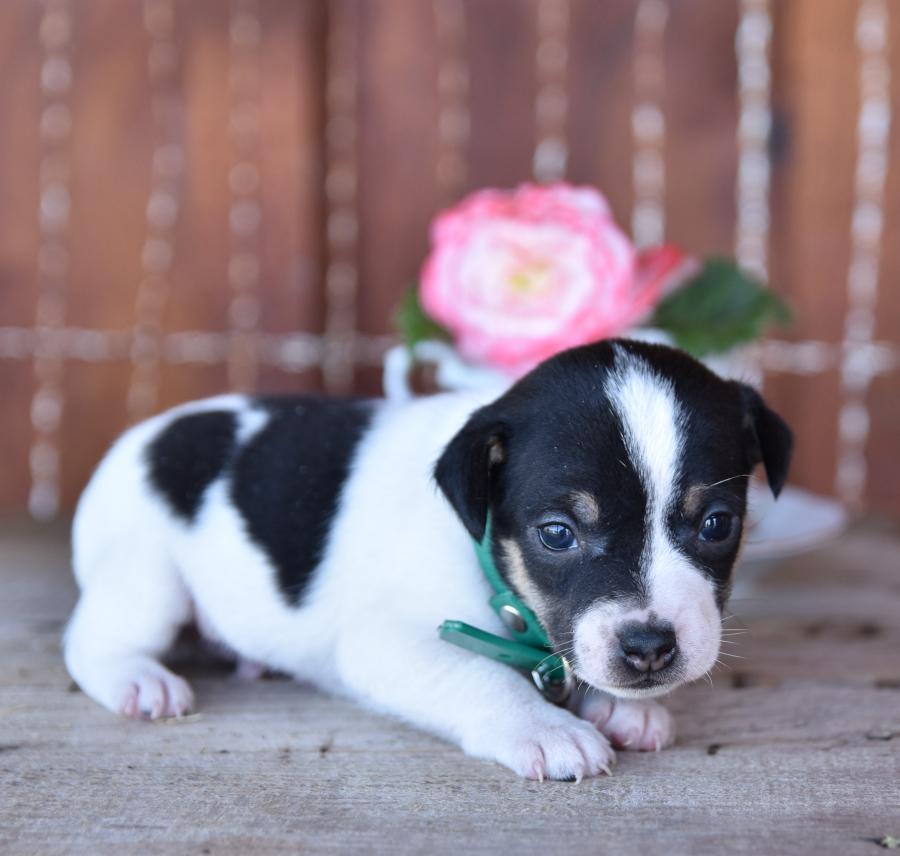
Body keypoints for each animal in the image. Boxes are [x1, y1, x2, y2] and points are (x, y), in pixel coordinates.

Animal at [63, 342, 792, 784]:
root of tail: (142, 435)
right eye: (557, 534)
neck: (488, 558)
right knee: (91, 640)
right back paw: (139, 680)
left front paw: (617, 705)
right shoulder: (385, 643)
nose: (648, 649)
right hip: (145, 571)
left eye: (717, 525)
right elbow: (480, 677)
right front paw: (545, 726)